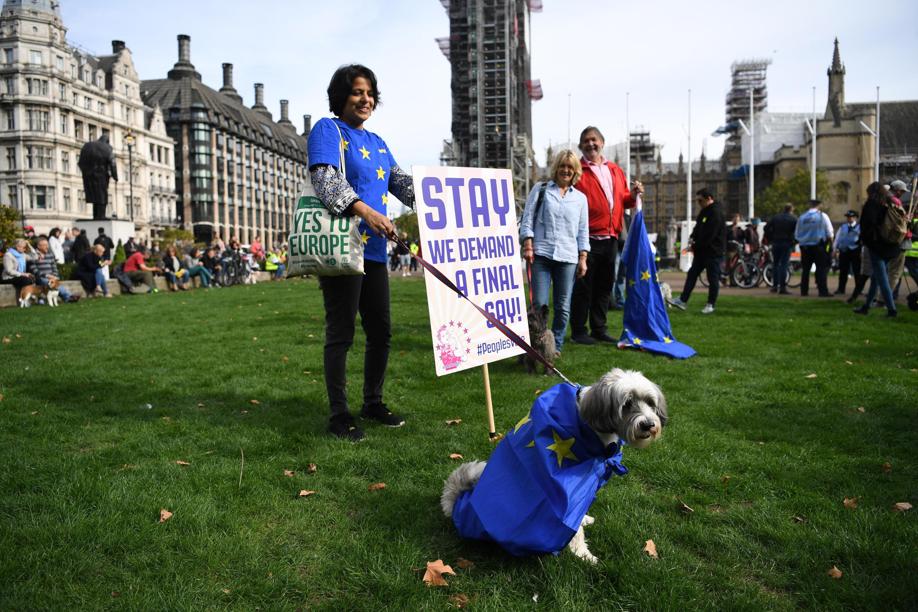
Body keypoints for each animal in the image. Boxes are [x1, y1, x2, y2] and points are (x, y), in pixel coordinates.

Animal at [441, 368, 667, 563]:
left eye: (650, 402)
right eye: (627, 403)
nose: (649, 425)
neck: (588, 425)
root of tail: (459, 505)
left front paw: (584, 520)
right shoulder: (566, 495)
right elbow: (573, 530)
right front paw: (584, 555)